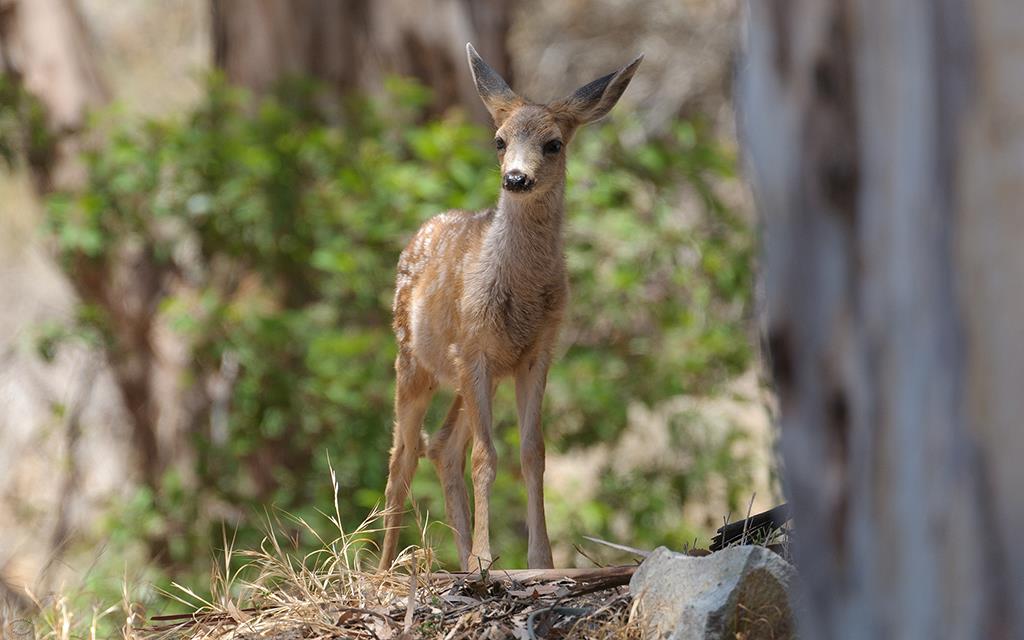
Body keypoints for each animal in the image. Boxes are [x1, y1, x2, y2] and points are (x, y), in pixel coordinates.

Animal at [378, 43, 638, 569]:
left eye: (554, 144)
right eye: (499, 141)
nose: (516, 178)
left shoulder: (535, 353)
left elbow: (532, 454)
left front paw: (539, 561)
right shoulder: (474, 349)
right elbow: (487, 456)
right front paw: (485, 558)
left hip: (472, 372)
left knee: (441, 446)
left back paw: (458, 564)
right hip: (413, 360)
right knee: (403, 458)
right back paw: (381, 570)